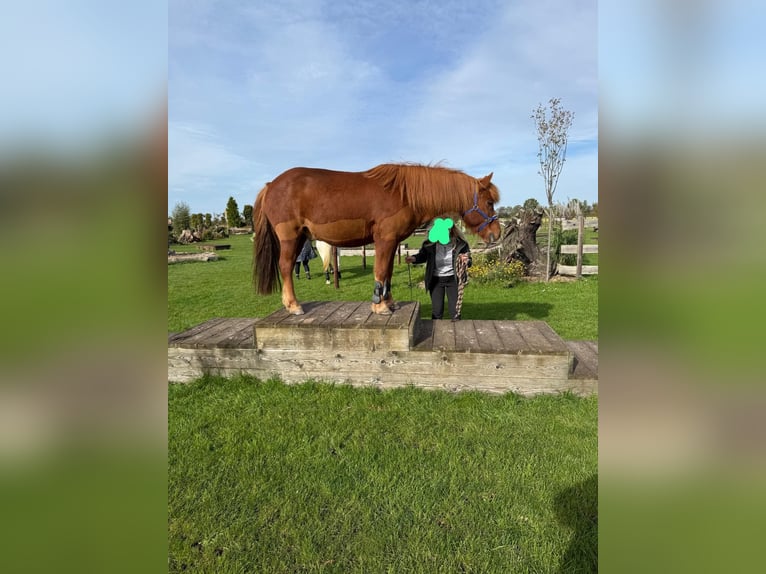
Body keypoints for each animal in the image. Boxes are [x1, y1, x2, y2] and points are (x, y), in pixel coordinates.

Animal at [253, 163, 501, 315]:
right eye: (489, 202)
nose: (496, 234)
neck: (404, 194)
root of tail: (271, 185)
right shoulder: (385, 239)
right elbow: (380, 271)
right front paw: (380, 307)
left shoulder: (393, 242)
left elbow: (388, 271)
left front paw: (388, 302)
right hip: (290, 237)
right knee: (286, 266)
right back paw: (293, 305)